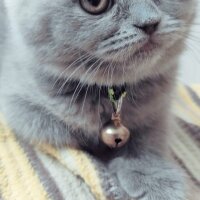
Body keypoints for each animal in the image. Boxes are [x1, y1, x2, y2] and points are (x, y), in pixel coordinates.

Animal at [0, 0, 197, 199]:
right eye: (95, 3)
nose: (150, 23)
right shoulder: (24, 110)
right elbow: (77, 143)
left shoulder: (158, 108)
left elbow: (149, 137)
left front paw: (154, 180)